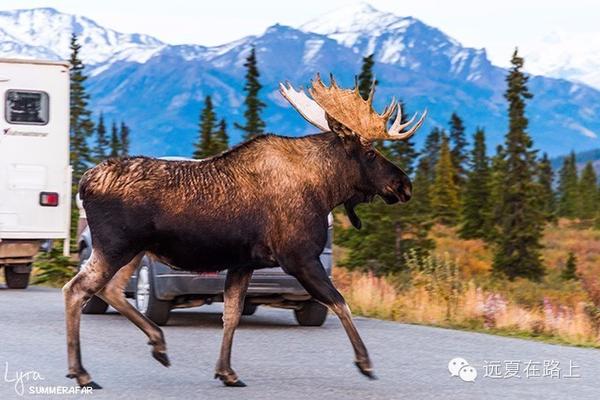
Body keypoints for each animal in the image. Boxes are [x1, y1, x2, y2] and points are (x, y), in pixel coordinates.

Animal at [64, 74, 426, 388]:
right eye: (370, 153)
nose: (405, 185)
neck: (324, 189)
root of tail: (84, 184)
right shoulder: (299, 257)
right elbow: (339, 302)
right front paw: (365, 362)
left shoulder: (244, 263)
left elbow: (232, 314)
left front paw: (226, 371)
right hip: (115, 246)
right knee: (76, 289)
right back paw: (81, 372)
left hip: (132, 251)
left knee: (109, 290)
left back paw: (158, 344)